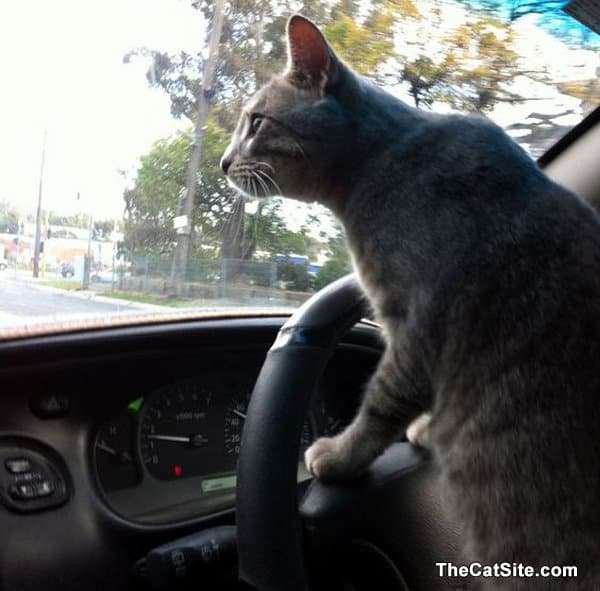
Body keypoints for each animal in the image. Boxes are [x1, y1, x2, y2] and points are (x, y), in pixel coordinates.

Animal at [221, 13, 600, 591]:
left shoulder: (418, 324)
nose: (222, 163)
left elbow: (382, 402)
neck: (377, 164)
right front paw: (425, 428)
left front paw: (340, 455)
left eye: (256, 122)